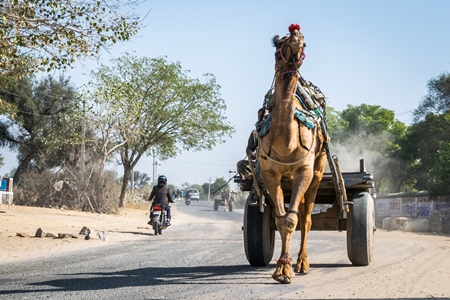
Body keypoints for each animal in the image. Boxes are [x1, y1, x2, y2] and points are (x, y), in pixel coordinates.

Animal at [256, 24, 326, 284]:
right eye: (279, 43)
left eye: (304, 42)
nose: (297, 37)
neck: (285, 144)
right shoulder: (270, 173)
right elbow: (280, 219)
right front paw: (280, 270)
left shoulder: (304, 170)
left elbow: (293, 219)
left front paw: (287, 270)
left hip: (318, 170)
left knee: (307, 217)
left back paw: (303, 263)